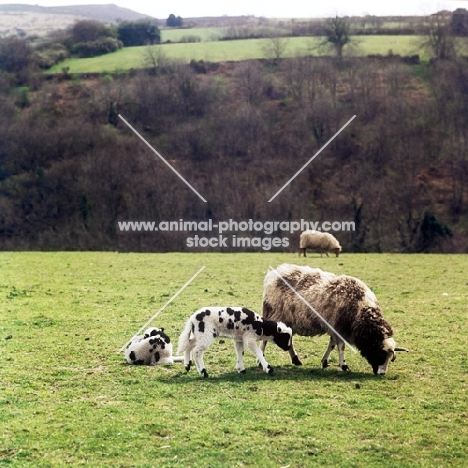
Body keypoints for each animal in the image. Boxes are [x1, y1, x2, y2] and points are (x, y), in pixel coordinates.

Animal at [262, 266, 408, 374]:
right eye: (380, 355)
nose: (382, 373)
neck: (361, 309)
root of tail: (274, 273)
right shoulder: (339, 327)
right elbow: (341, 347)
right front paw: (343, 366)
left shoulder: (335, 327)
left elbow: (332, 345)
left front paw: (325, 362)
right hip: (273, 313)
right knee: (264, 339)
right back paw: (261, 359)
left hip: (288, 321)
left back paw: (296, 360)